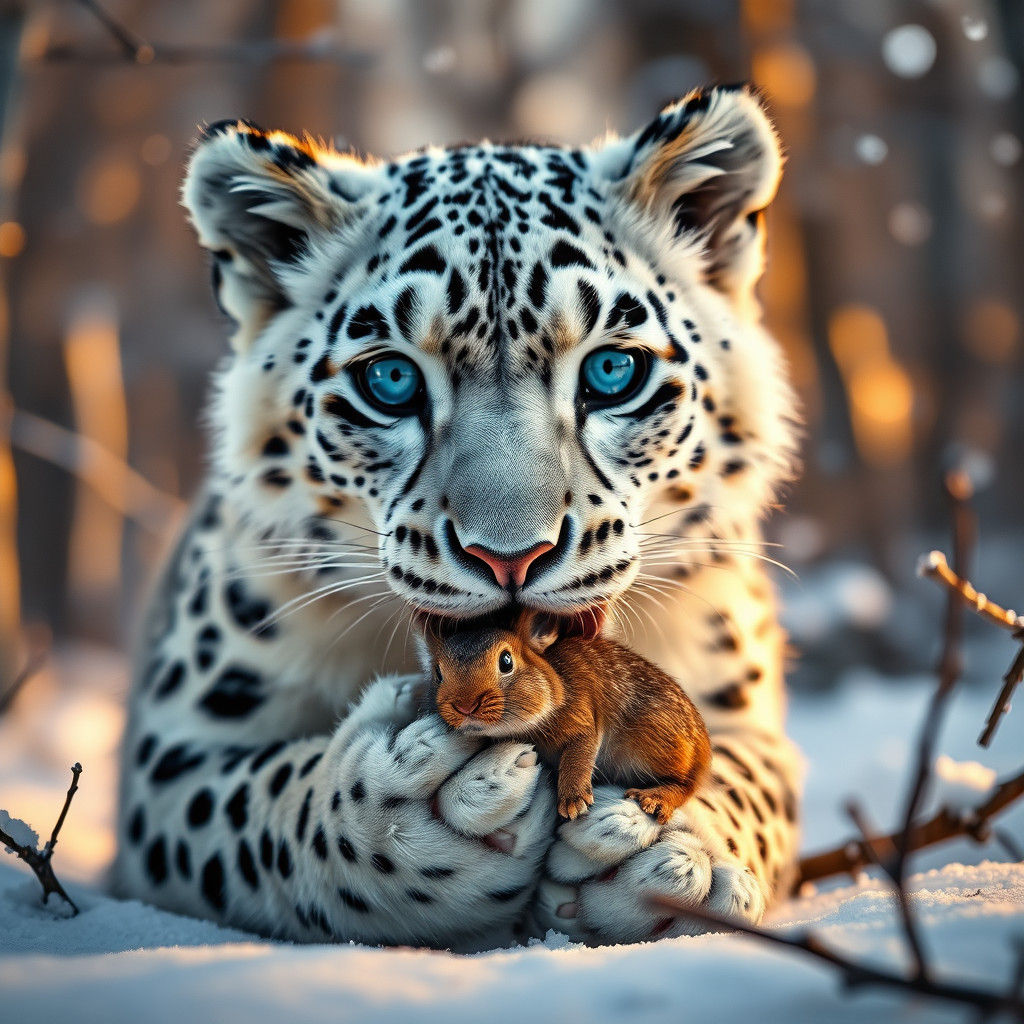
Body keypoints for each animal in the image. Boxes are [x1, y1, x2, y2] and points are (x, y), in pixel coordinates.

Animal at [113, 83, 803, 949]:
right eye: (390, 381)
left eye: (614, 370)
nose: (511, 557)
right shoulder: (175, 755)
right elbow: (261, 807)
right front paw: (415, 810)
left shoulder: (748, 716)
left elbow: (745, 777)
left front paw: (673, 856)